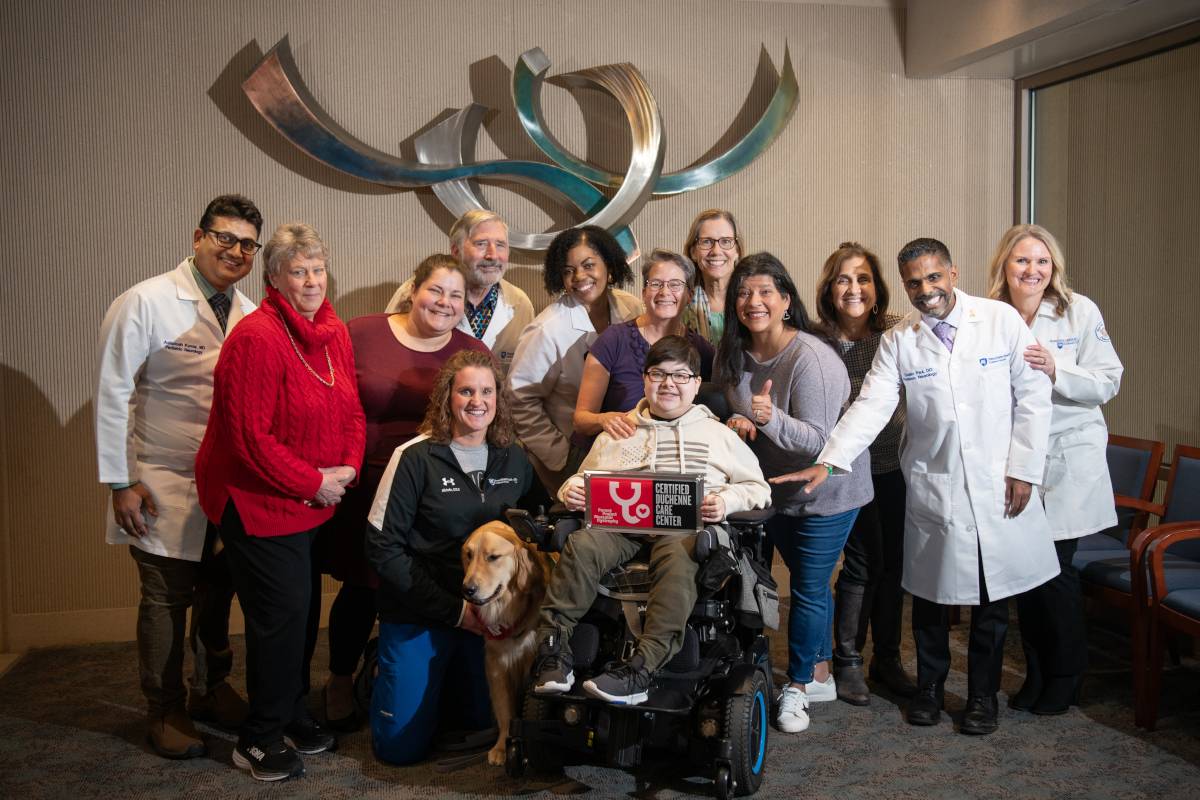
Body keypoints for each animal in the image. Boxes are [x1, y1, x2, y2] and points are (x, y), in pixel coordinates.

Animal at [460, 522, 554, 767]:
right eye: (469, 555)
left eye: (493, 557)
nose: (467, 589)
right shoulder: (497, 665)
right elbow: (504, 710)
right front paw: (503, 746)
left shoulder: (533, 663)